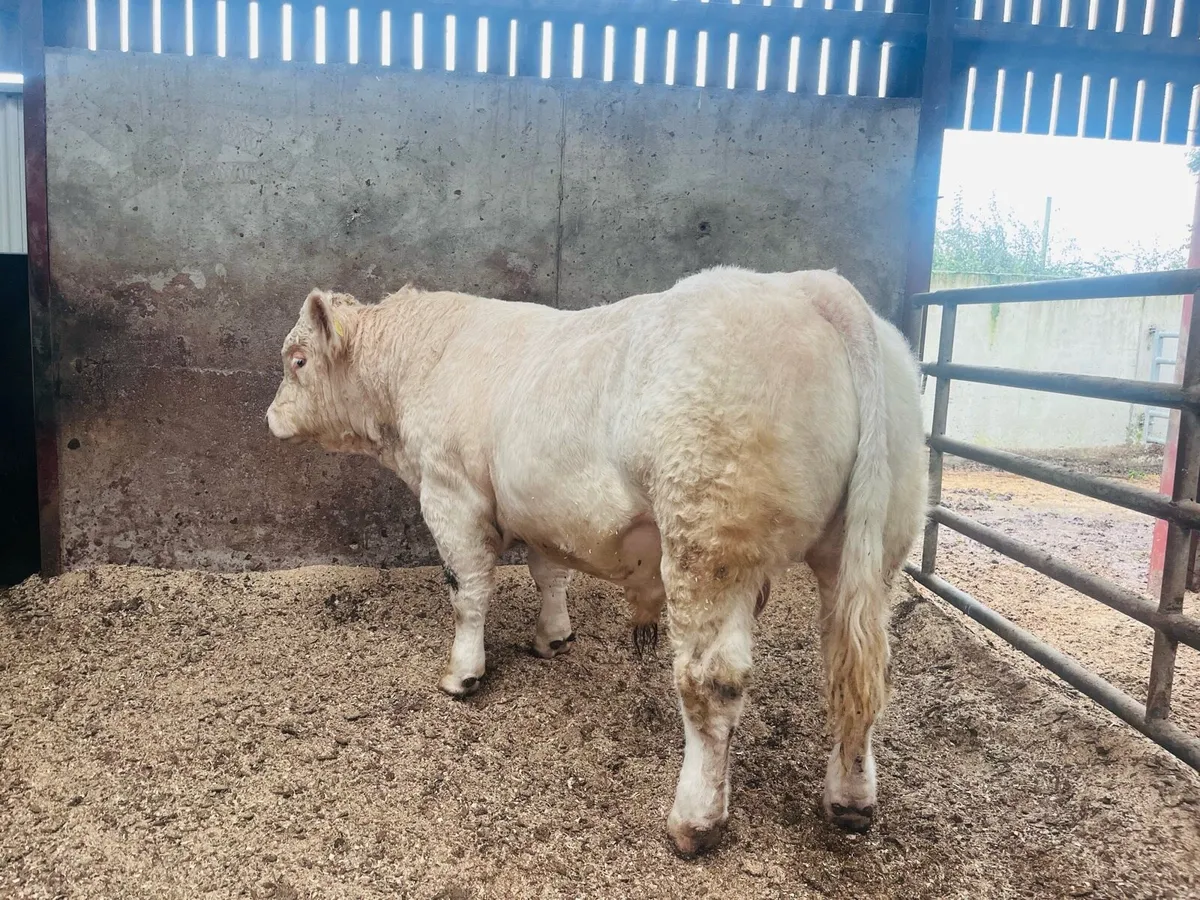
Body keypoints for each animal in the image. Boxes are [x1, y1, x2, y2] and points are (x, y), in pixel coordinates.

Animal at [266, 266, 926, 857]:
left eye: (297, 360)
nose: (269, 418)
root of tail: (815, 287)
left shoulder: (451, 494)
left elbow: (467, 590)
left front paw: (463, 674)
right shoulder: (538, 507)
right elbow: (548, 572)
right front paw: (553, 636)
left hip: (709, 541)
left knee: (712, 681)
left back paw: (694, 821)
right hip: (872, 547)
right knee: (856, 669)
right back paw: (850, 799)